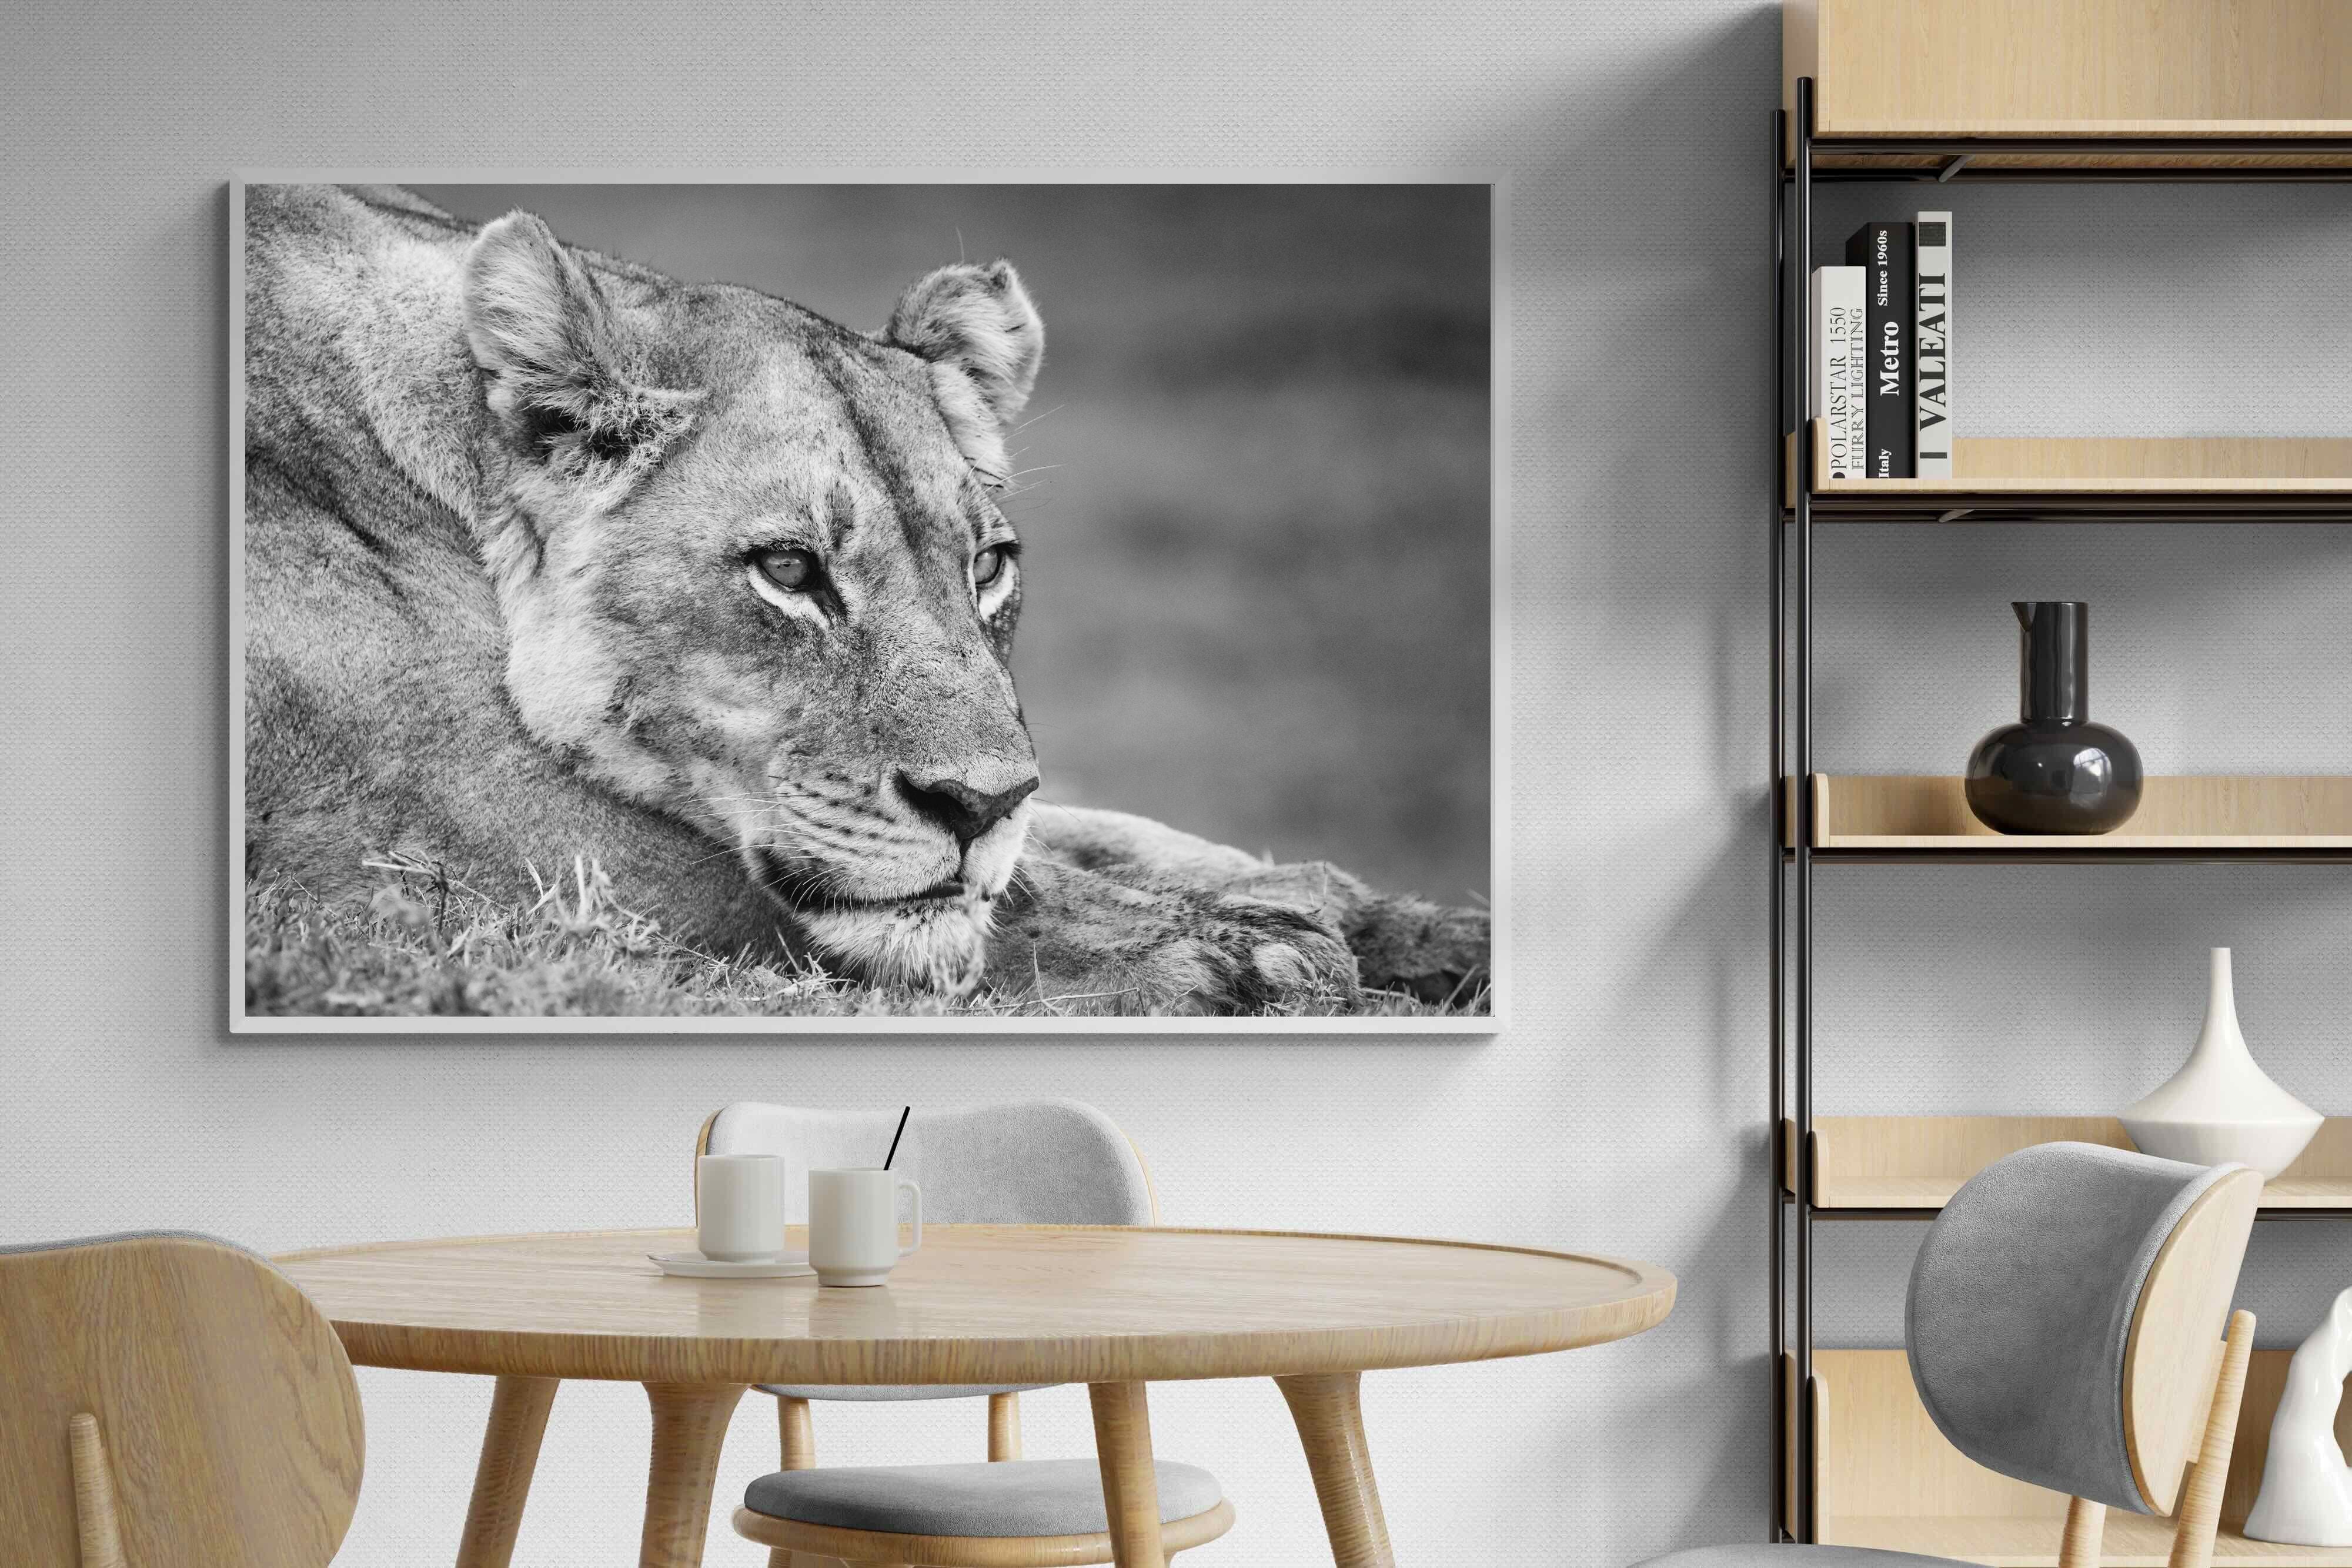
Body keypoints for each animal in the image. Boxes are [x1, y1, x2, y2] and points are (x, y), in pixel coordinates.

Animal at [242, 184, 1487, 1015]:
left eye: (987, 567)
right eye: (790, 571)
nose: (976, 807)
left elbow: (1107, 834)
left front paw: (1408, 922)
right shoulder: (455, 835)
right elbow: (961, 900)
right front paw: (1251, 954)